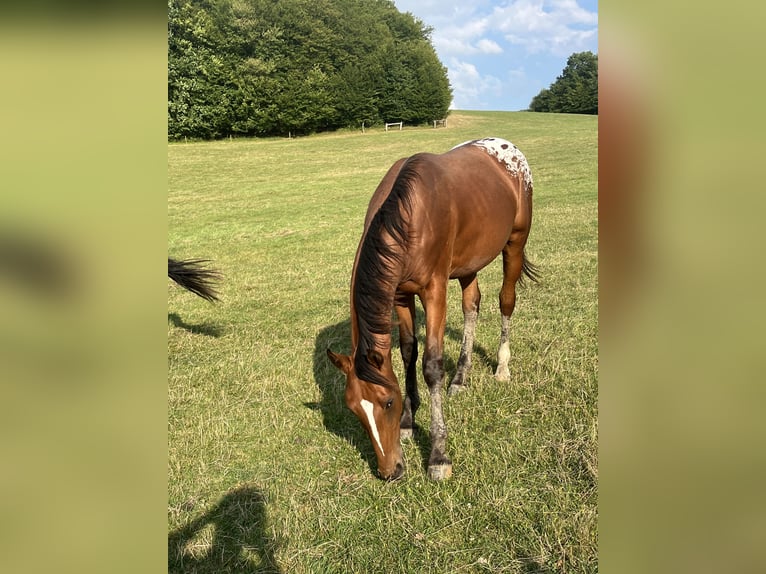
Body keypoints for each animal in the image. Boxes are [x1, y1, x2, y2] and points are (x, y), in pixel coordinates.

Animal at [328, 136, 536, 482]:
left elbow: (431, 365)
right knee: (471, 305)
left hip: (515, 244)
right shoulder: (400, 295)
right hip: (468, 262)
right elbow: (407, 351)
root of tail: (505, 147)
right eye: (353, 409)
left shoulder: (434, 291)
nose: (390, 472)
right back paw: (461, 378)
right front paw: (410, 420)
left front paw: (438, 455)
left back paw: (502, 368)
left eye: (387, 403)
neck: (408, 217)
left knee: (506, 300)